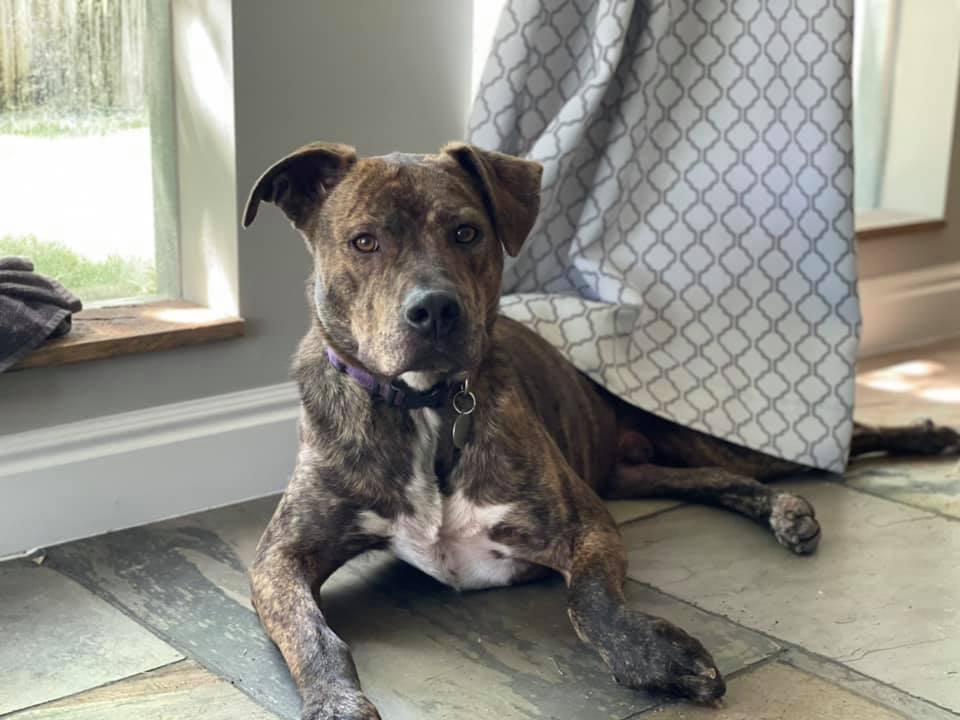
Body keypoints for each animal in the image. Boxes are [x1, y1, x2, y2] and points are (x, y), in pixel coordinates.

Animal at [242, 142, 960, 720]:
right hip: (635, 472)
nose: (436, 309)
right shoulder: (280, 557)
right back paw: (787, 513)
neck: (425, 408)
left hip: (696, 440)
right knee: (718, 481)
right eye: (364, 241)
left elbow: (588, 601)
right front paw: (336, 702)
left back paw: (927, 435)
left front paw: (656, 658)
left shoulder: (583, 525)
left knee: (830, 445)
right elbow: (313, 634)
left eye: (467, 232)